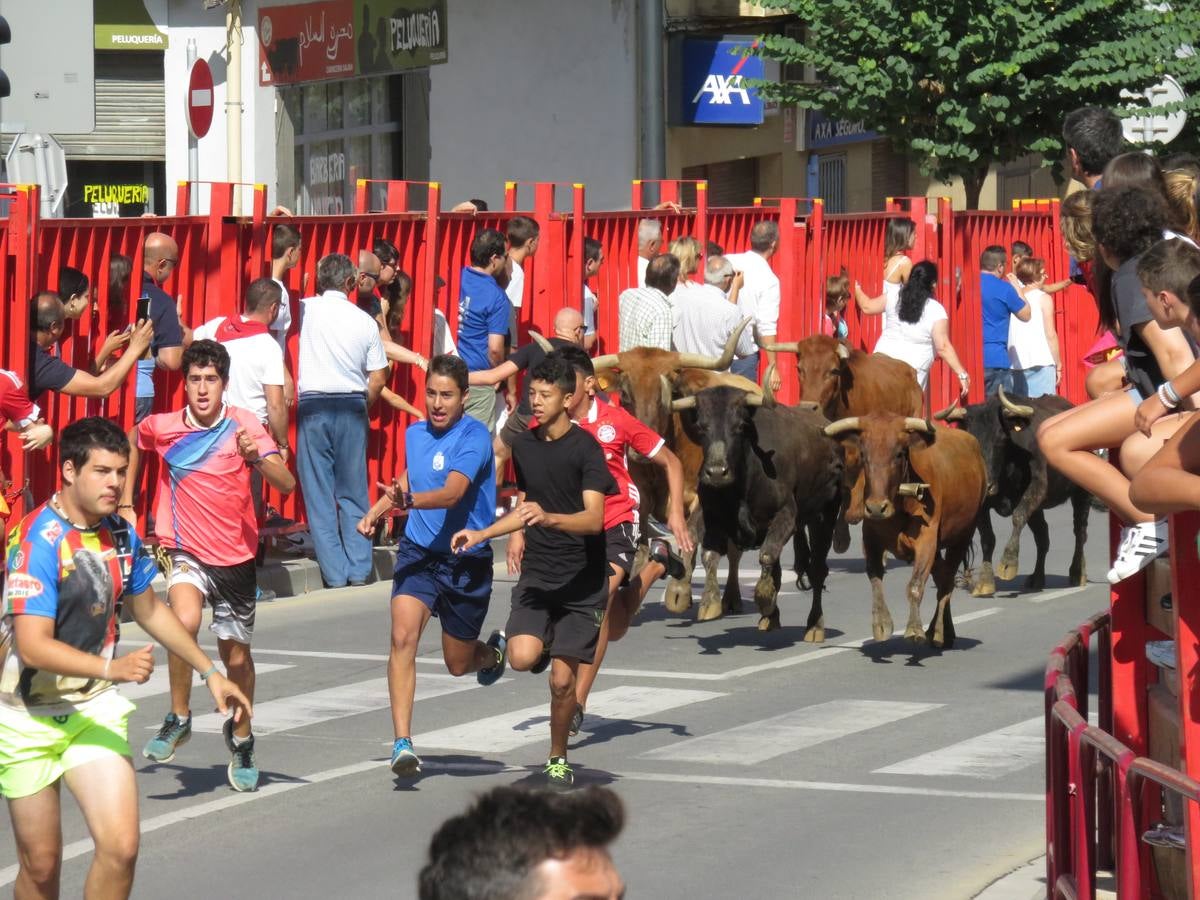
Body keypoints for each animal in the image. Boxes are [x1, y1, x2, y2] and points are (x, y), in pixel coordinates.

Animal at [825, 412, 984, 652]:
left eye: (899, 453)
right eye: (863, 454)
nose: (876, 507)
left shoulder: (927, 541)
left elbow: (915, 585)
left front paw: (915, 630)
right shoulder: (871, 539)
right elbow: (875, 577)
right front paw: (881, 624)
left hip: (963, 536)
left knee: (946, 583)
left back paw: (939, 632)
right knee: (942, 578)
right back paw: (942, 630)